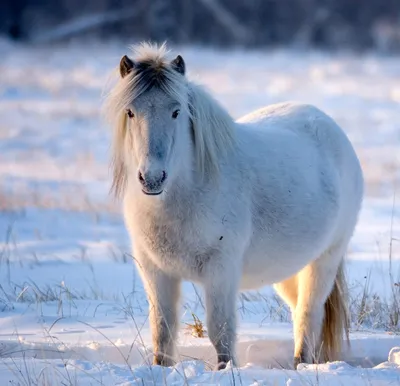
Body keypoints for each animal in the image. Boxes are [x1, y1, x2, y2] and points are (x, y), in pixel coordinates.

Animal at [104, 43, 364, 370]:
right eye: (130, 111)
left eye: (176, 111)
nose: (152, 178)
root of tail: (330, 128)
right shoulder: (155, 271)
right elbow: (162, 332)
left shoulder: (221, 269)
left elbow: (220, 331)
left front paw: (225, 370)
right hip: (290, 270)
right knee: (298, 313)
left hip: (325, 260)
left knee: (308, 315)